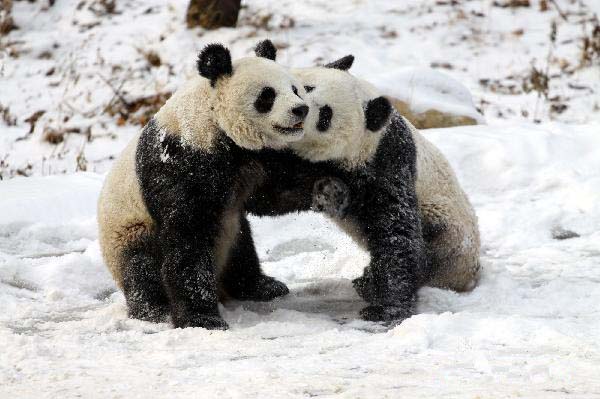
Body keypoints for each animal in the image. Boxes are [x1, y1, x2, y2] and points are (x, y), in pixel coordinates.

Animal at [97, 43, 310, 332]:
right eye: (267, 95)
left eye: (295, 89)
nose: (301, 109)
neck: (212, 118)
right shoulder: (181, 161)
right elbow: (188, 236)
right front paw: (202, 320)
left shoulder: (254, 160)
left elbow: (276, 193)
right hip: (128, 230)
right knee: (140, 267)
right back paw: (154, 310)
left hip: (230, 230)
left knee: (241, 251)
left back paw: (264, 287)